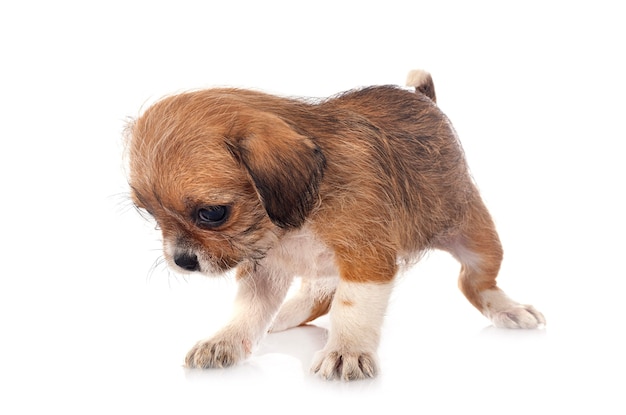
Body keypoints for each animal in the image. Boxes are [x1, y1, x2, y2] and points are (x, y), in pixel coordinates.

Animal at [125, 70, 540, 382]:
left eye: (212, 213)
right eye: (149, 214)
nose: (182, 260)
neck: (287, 228)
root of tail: (424, 99)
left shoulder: (366, 260)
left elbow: (351, 307)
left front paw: (347, 351)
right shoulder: (262, 269)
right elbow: (246, 311)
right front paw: (225, 341)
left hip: (477, 238)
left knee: (475, 282)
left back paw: (509, 310)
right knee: (319, 293)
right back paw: (286, 314)